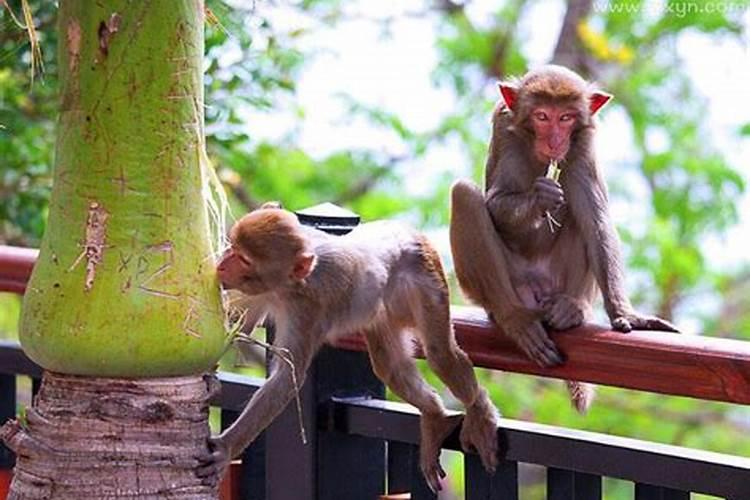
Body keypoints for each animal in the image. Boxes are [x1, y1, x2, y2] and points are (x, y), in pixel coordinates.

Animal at [197, 207, 500, 492]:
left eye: (244, 259)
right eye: (232, 247)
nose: (221, 265)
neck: (287, 286)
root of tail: (408, 230)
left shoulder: (306, 308)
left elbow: (286, 378)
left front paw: (225, 447)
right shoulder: (260, 293)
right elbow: (235, 325)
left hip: (425, 278)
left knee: (440, 355)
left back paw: (477, 411)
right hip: (383, 310)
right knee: (390, 367)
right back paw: (435, 417)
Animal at [450, 64, 680, 412]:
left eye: (567, 118)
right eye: (543, 116)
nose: (556, 141)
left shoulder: (583, 142)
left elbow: (596, 218)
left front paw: (625, 314)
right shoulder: (504, 129)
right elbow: (495, 201)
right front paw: (540, 197)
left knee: (580, 208)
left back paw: (573, 309)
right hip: (502, 285)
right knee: (463, 194)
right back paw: (514, 317)